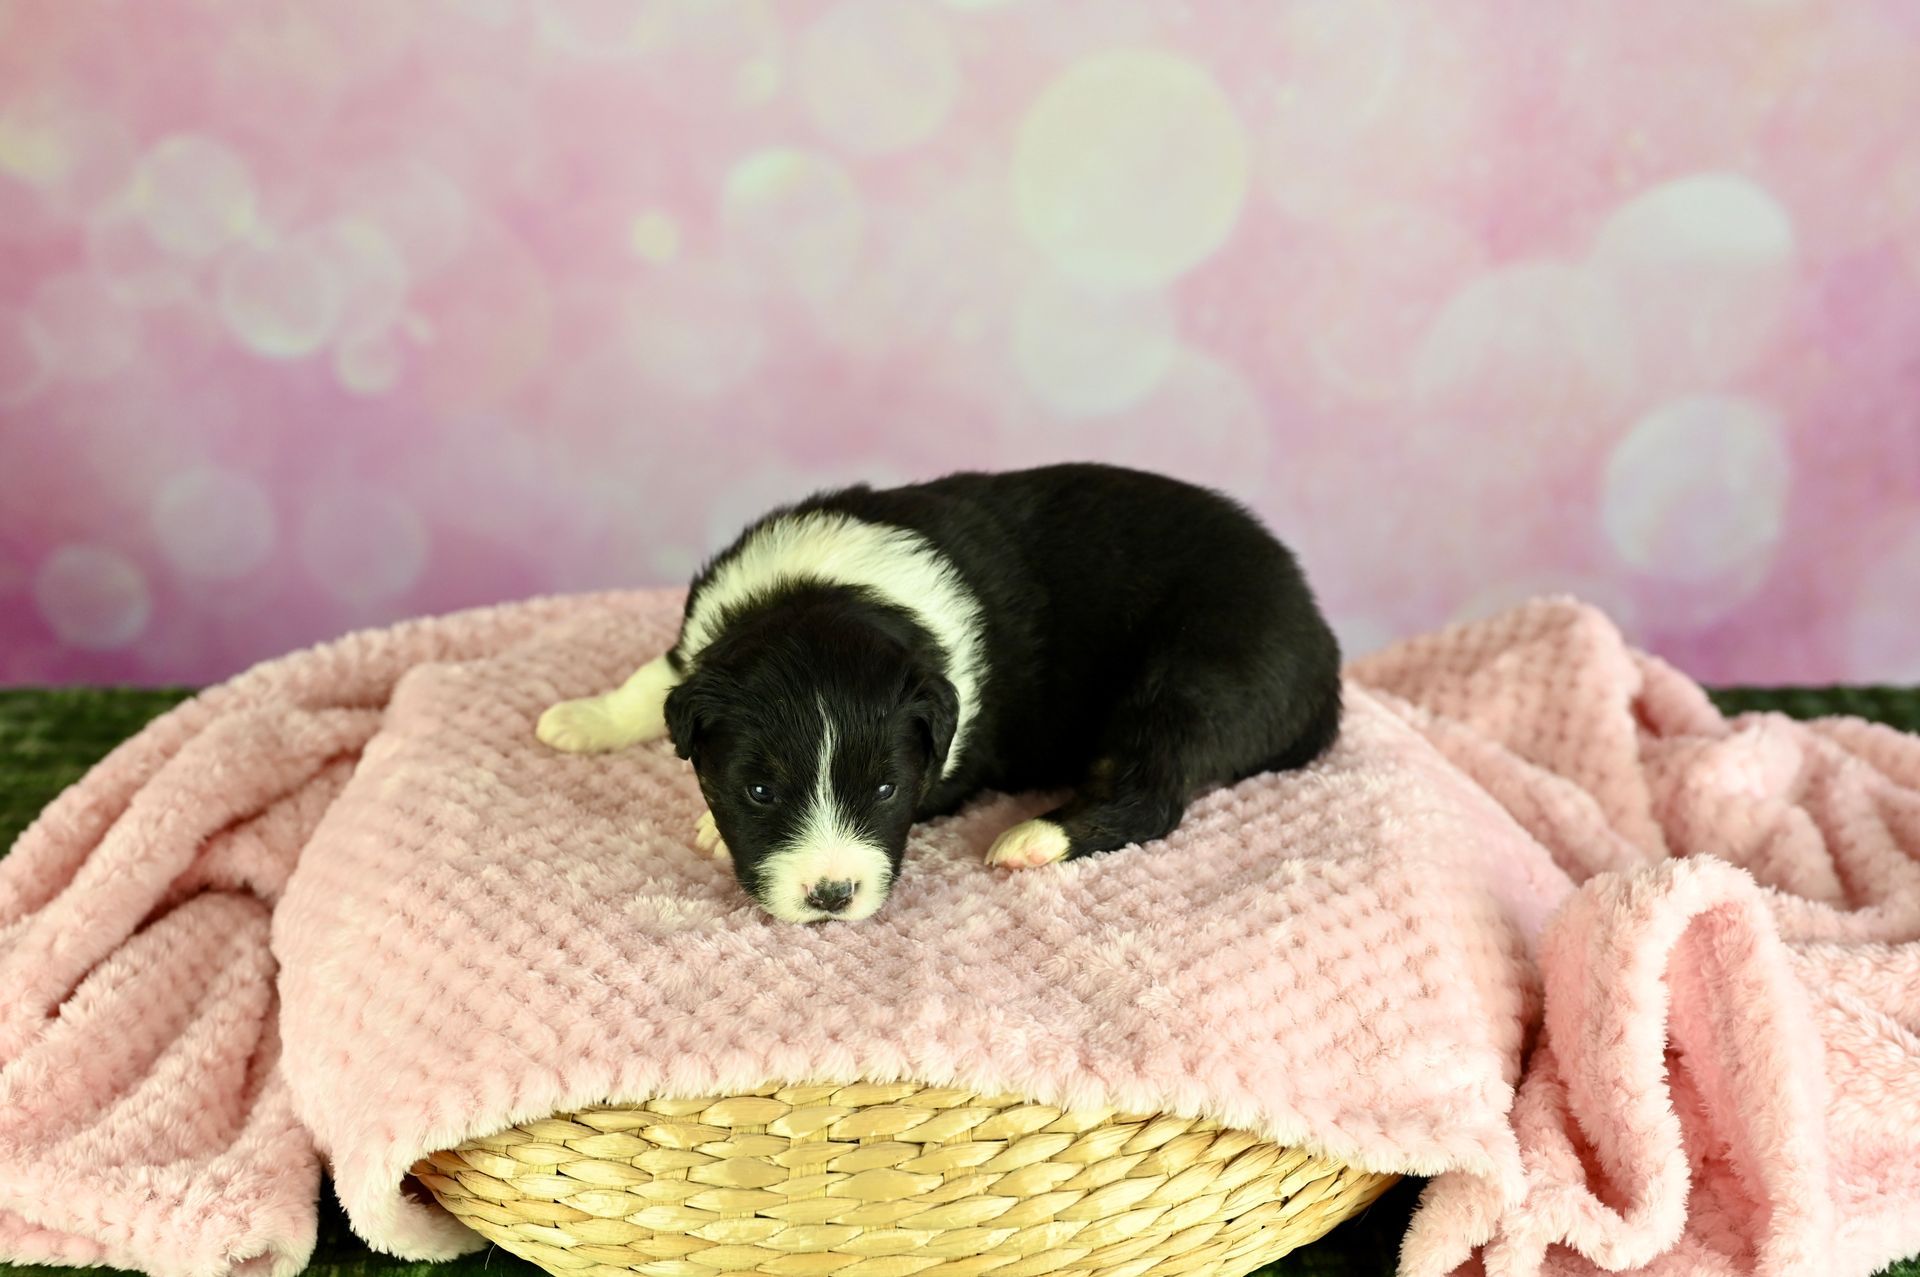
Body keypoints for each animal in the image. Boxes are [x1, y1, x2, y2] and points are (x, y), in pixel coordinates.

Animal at [536, 462, 1343, 923]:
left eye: (887, 789)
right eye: (759, 791)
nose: (831, 897)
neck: (825, 590)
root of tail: (1322, 651)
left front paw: (706, 826)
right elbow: (659, 677)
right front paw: (580, 718)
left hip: (1198, 678)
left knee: (1153, 792)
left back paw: (1033, 837)